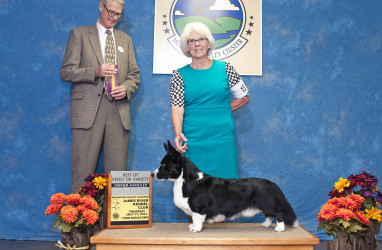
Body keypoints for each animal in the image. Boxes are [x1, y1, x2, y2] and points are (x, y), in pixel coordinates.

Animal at [151, 142, 298, 233]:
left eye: (164, 165)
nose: (152, 174)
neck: (184, 180)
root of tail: (273, 184)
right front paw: (192, 226)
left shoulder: (198, 209)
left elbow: (197, 219)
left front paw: (195, 229)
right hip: (264, 205)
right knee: (268, 215)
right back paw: (266, 224)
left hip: (268, 204)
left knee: (278, 214)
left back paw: (279, 228)